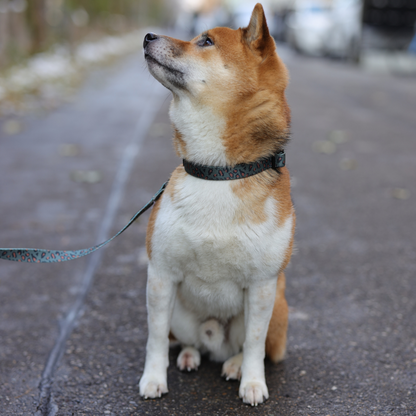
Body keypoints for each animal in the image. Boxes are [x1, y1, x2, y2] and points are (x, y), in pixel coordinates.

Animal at [140, 4, 296, 406]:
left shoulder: (262, 286)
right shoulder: (161, 274)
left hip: (278, 308)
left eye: (206, 41)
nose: (148, 36)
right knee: (187, 341)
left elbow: (255, 344)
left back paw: (235, 365)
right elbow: (156, 338)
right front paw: (153, 378)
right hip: (181, 314)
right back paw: (191, 355)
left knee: (249, 347)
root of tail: (215, 339)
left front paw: (253, 383)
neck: (219, 173)